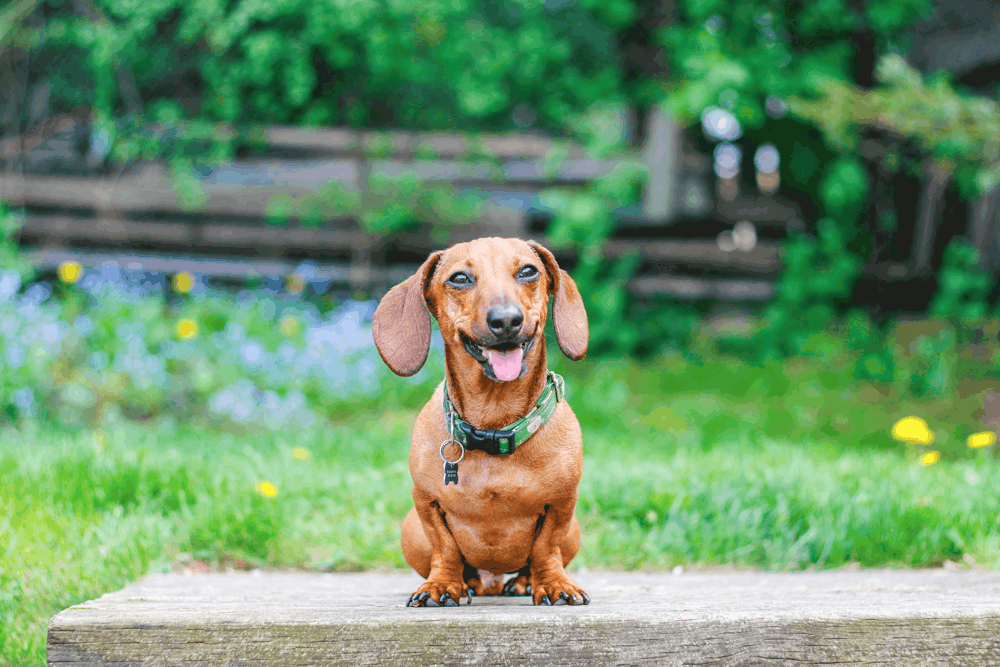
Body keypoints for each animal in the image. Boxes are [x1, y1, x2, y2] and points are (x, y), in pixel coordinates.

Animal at [372, 237, 588, 608]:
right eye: (459, 278)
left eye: (528, 271)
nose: (507, 320)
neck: (495, 424)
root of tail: (493, 580)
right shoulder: (426, 503)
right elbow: (445, 548)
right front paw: (442, 585)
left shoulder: (562, 505)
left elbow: (546, 548)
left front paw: (553, 584)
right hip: (411, 531)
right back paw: (469, 582)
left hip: (573, 532)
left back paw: (523, 583)